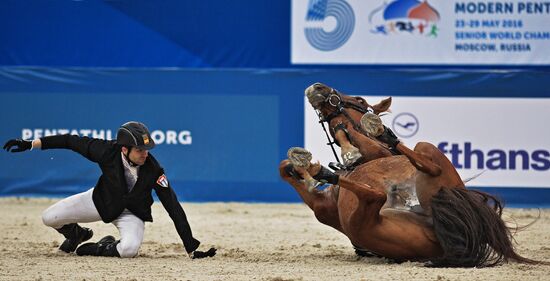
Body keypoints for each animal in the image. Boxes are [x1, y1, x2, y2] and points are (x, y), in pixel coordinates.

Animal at [280, 82, 548, 266]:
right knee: (376, 195)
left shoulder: (370, 153)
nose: (318, 87)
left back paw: (379, 134)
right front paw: (308, 165)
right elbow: (285, 168)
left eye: (359, 98)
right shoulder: (324, 207)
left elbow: (347, 133)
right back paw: (325, 170)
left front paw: (347, 151)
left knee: (414, 166)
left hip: (424, 161)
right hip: (366, 223)